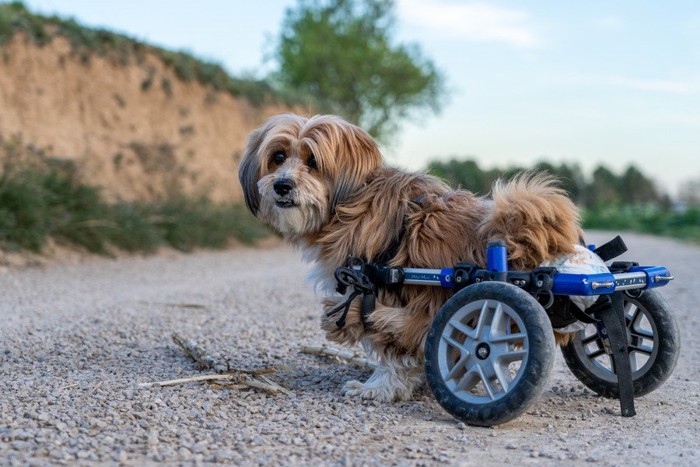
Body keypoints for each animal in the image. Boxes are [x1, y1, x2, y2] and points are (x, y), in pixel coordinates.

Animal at [238, 113, 584, 402]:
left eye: (313, 161)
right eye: (278, 156)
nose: (282, 185)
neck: (353, 201)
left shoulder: (381, 287)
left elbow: (392, 348)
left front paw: (378, 387)